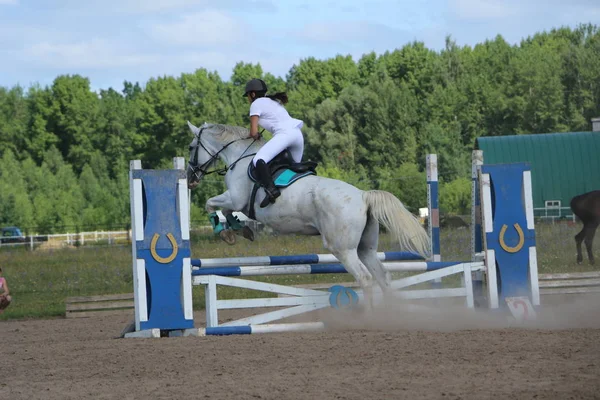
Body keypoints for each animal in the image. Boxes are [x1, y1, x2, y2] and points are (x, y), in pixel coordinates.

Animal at [188, 122, 432, 304]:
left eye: (191, 147)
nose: (191, 178)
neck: (240, 157)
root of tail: (363, 196)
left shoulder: (235, 198)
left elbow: (212, 205)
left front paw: (227, 232)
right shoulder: (236, 201)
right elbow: (223, 210)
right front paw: (240, 229)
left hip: (342, 249)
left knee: (365, 278)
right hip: (366, 248)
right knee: (382, 276)